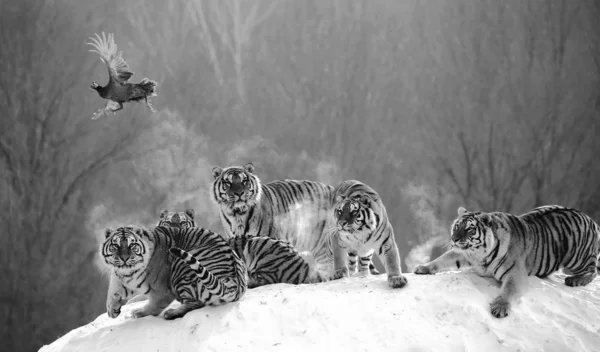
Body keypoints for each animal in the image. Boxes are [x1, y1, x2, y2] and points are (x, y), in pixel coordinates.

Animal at [102, 226, 247, 320]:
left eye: (132, 245)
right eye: (115, 246)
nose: (124, 258)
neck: (128, 273)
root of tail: (234, 281)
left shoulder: (161, 291)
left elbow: (155, 304)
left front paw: (138, 312)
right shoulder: (120, 277)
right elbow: (113, 291)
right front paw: (112, 309)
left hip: (180, 267)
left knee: (195, 303)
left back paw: (171, 313)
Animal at [157, 208, 328, 288]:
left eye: (182, 222)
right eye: (168, 222)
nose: (175, 229)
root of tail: (303, 264)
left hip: (257, 244)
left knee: (270, 279)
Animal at [412, 206, 600, 320]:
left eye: (469, 229)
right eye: (457, 226)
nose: (454, 239)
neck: (478, 253)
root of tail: (591, 219)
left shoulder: (515, 273)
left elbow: (508, 290)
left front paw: (500, 308)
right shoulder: (462, 253)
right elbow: (442, 259)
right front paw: (423, 267)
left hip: (577, 257)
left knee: (593, 269)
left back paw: (576, 280)